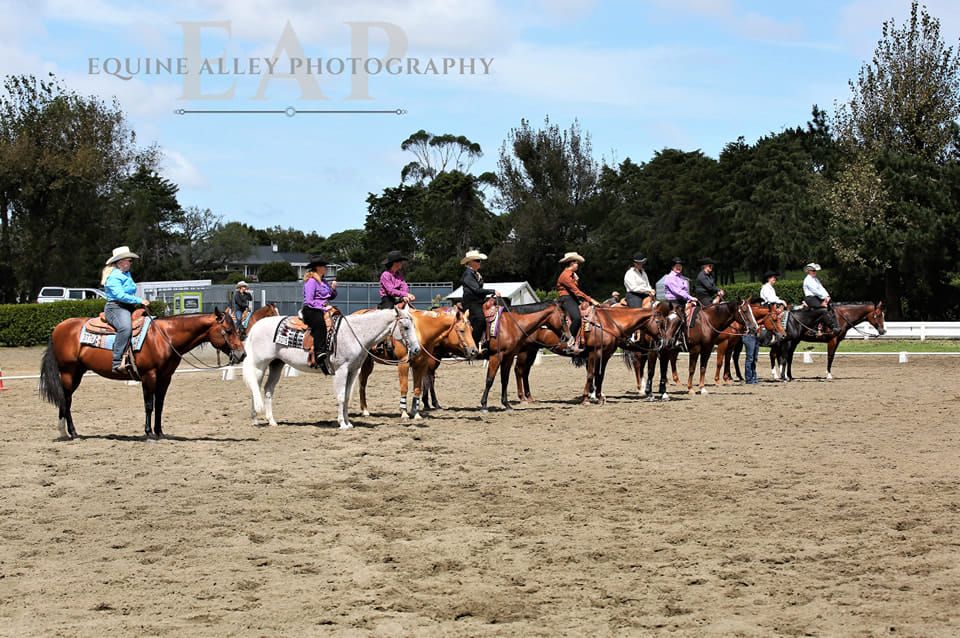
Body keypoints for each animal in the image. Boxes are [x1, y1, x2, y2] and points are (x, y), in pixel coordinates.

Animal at [39, 308, 246, 440]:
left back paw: (64, 432)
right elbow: (149, 405)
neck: (164, 337)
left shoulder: (165, 377)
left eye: (237, 329)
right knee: (66, 399)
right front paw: (148, 432)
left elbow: (160, 405)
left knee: (65, 399)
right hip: (68, 371)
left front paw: (160, 432)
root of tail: (58, 328)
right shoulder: (149, 375)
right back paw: (72, 433)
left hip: (78, 373)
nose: (242, 354)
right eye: (228, 330)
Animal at [240, 308, 420, 432]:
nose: (417, 349)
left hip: (276, 364)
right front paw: (342, 424)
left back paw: (272, 421)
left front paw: (348, 422)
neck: (355, 333)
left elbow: (347, 397)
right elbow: (340, 396)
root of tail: (255, 327)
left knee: (268, 389)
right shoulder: (341, 370)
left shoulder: (353, 371)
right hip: (259, 365)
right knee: (254, 387)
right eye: (405, 326)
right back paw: (255, 420)